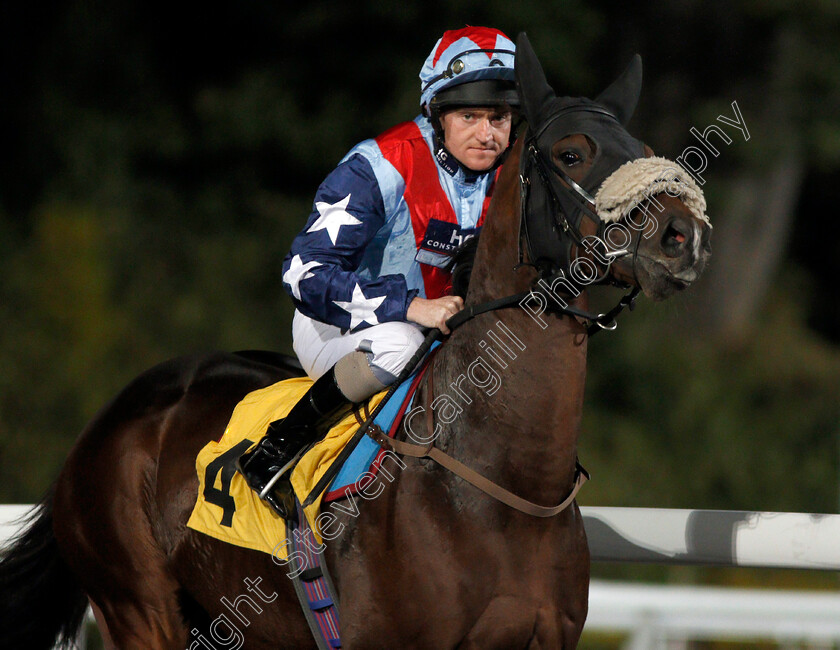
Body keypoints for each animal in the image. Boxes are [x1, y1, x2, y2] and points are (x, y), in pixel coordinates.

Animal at [0, 35, 712, 648]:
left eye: (644, 147)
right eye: (571, 154)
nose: (683, 237)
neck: (504, 486)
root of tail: (110, 419)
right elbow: (309, 262)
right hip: (139, 610)